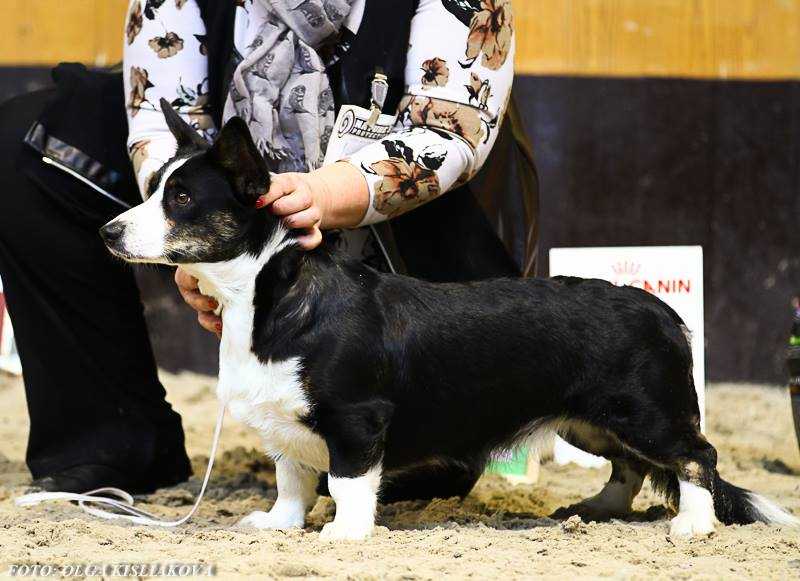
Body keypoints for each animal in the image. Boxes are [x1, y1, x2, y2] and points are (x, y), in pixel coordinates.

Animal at [100, 103, 792, 540]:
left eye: (181, 199)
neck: (267, 296)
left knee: (695, 457)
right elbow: (292, 479)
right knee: (632, 466)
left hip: (643, 412)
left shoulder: (357, 420)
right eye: (154, 187)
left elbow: (347, 484)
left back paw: (693, 523)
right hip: (591, 422)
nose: (108, 232)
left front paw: (345, 536)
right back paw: (596, 509)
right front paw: (279, 524)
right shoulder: (288, 426)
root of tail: (664, 311)